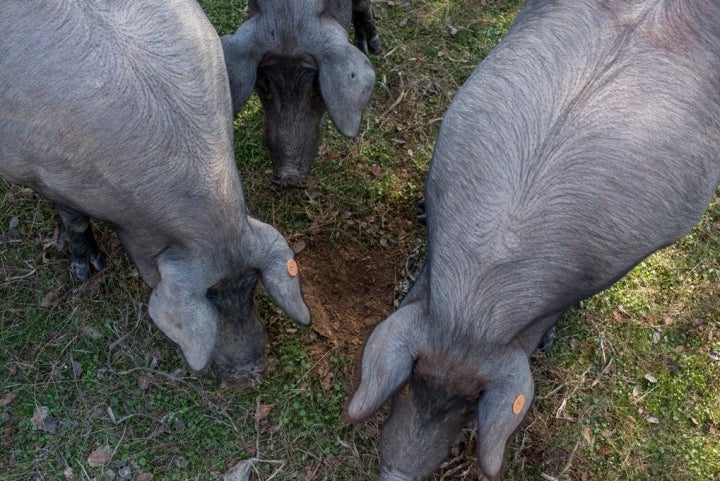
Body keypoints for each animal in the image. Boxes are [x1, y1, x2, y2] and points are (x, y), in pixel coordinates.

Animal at [0, 0, 310, 386]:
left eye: (252, 286)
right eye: (212, 297)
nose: (247, 374)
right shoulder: (48, 172)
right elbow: (73, 218)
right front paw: (88, 270)